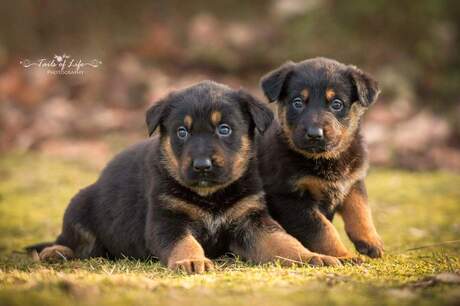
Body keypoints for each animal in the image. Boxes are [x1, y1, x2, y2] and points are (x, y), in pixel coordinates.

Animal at [26, 80, 342, 272]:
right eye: (182, 132)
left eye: (224, 129)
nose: (202, 165)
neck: (211, 196)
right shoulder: (167, 221)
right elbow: (184, 242)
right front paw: (191, 261)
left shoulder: (252, 221)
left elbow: (285, 243)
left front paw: (314, 256)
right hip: (79, 205)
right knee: (73, 240)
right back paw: (55, 252)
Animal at [258, 57, 384, 258]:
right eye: (298, 102)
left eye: (337, 104)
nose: (314, 134)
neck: (326, 159)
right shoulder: (289, 198)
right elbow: (322, 230)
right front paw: (343, 255)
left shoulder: (353, 182)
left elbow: (361, 211)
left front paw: (371, 241)